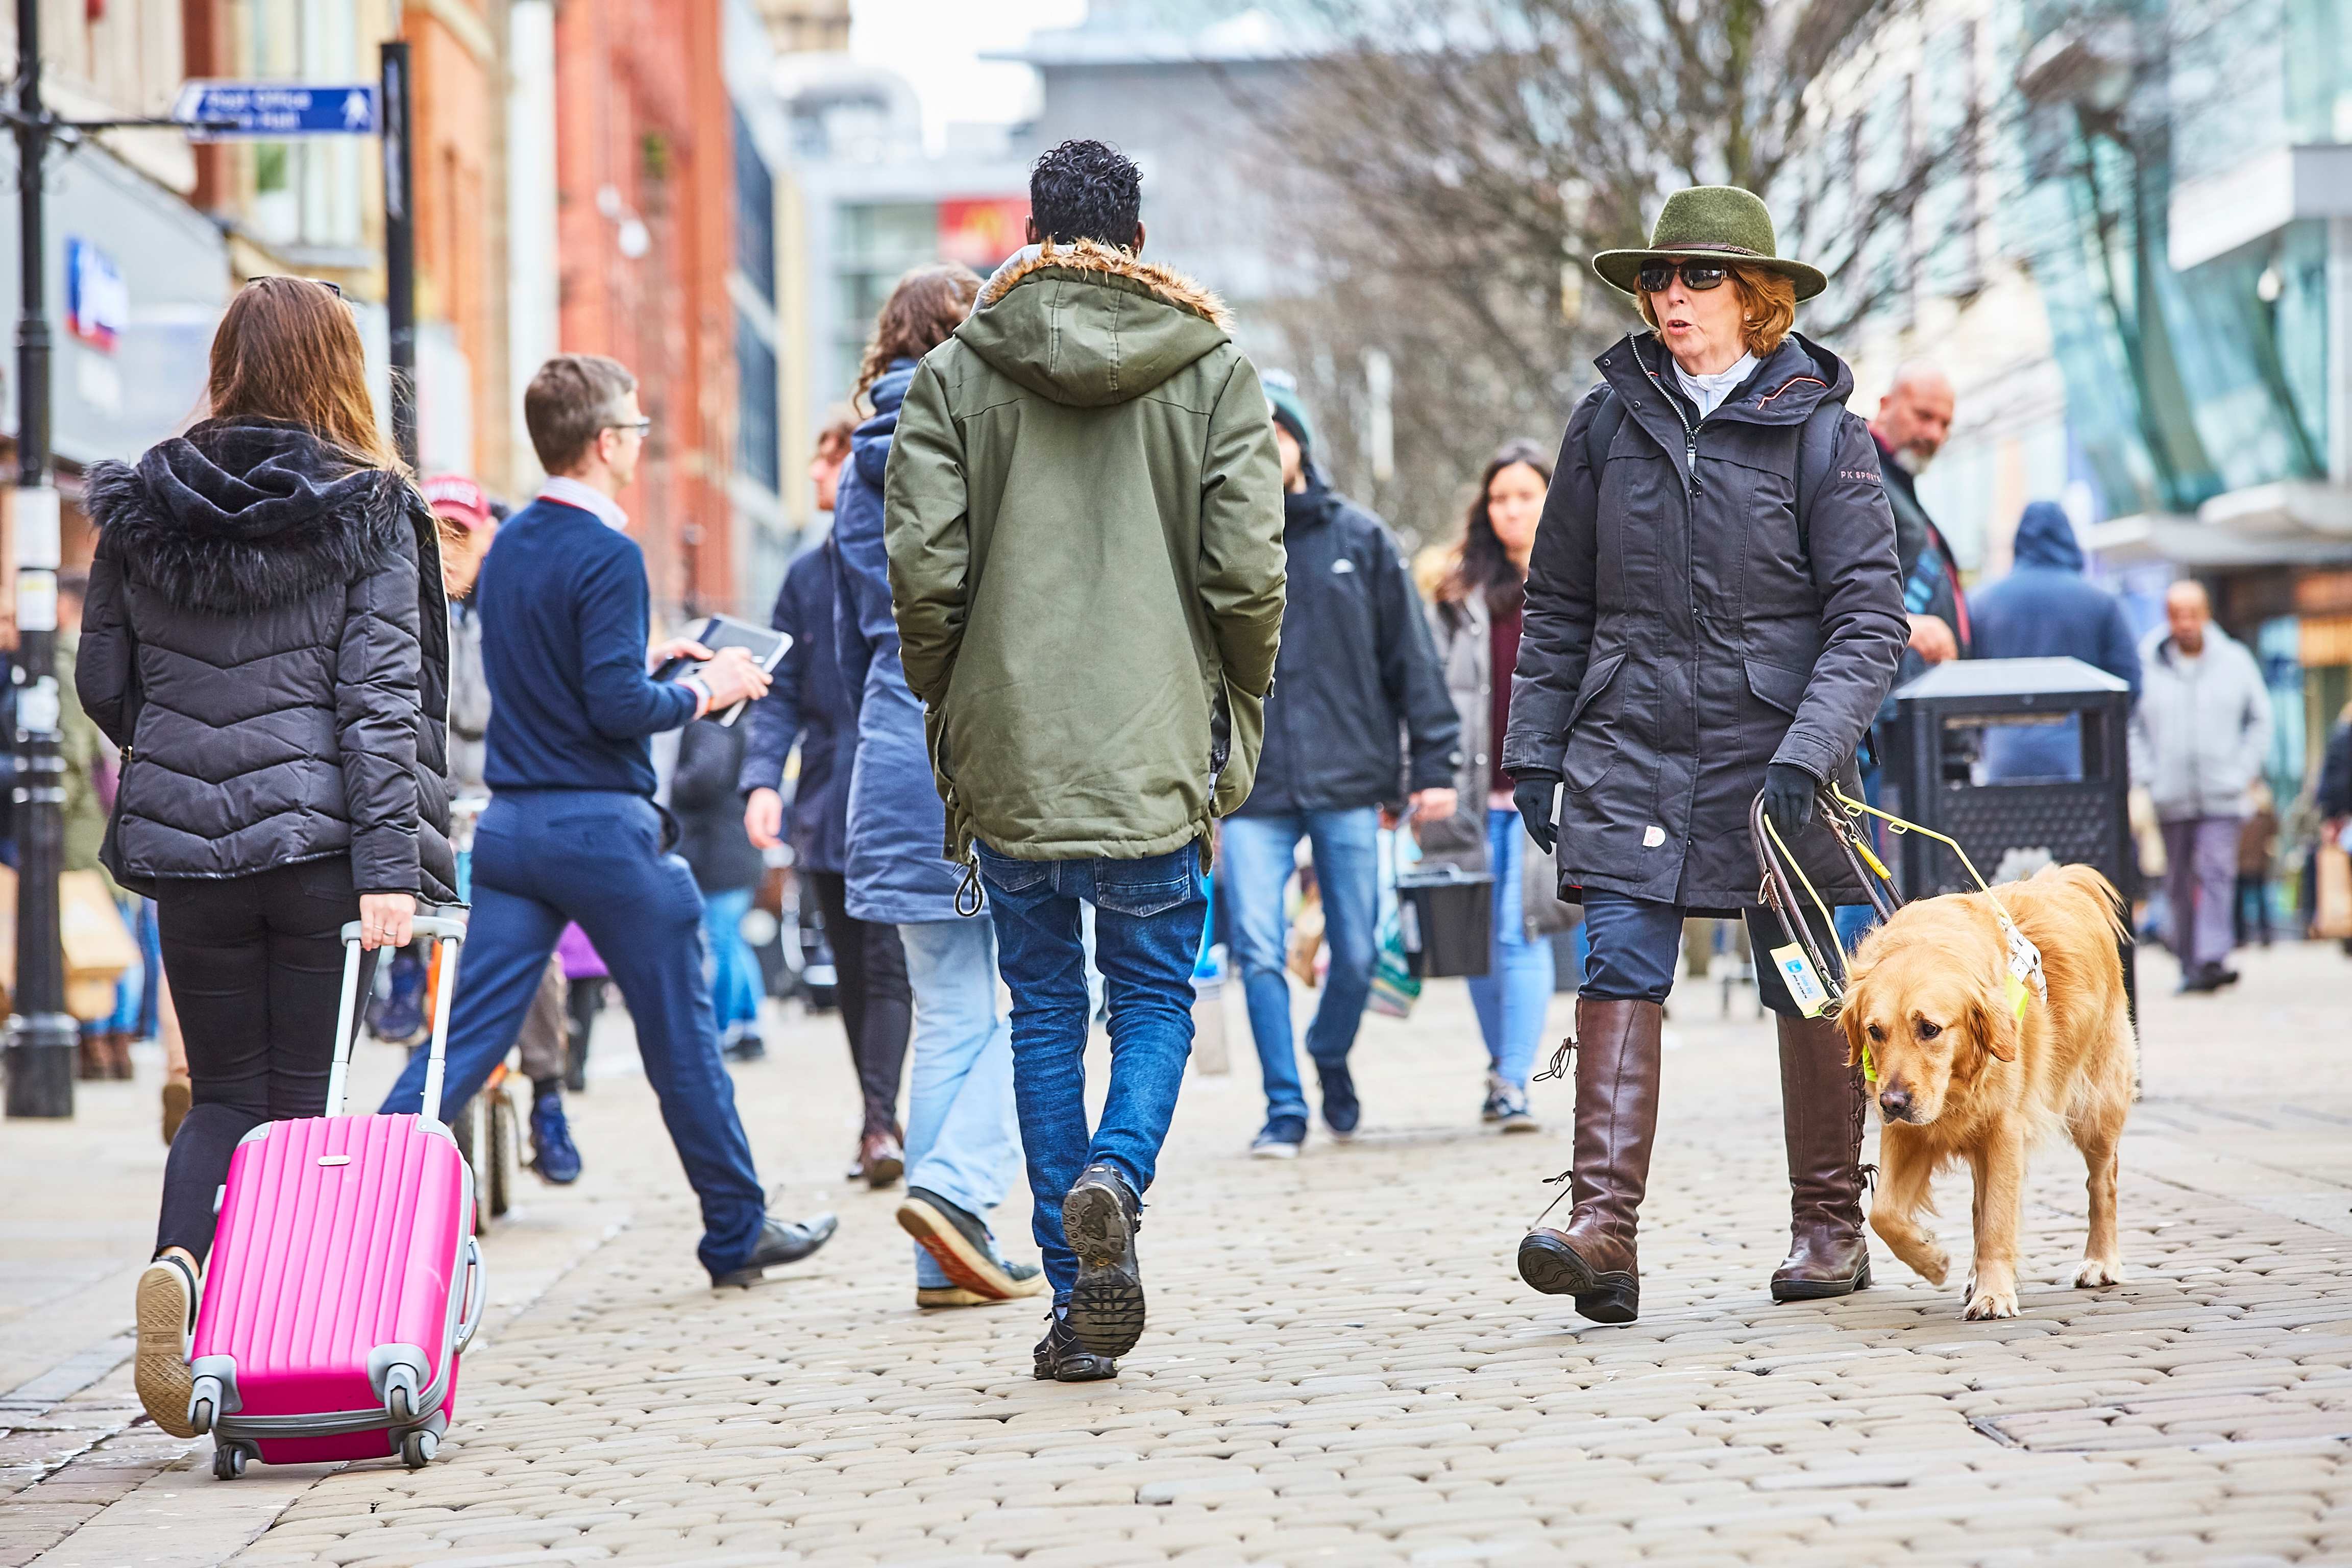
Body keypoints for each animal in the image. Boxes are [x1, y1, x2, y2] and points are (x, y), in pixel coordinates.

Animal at [1844, 865, 2145, 1316]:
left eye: (1929, 1029)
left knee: (2102, 1182)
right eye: (1874, 1032)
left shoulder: (2005, 1130)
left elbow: (1999, 1221)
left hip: (2096, 1107)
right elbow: (1885, 1215)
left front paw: (1994, 1294)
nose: (1891, 1103)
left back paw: (2100, 1262)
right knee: (1976, 1207)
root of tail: (2065, 879)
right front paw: (1932, 1258)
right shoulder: (1907, 1133)